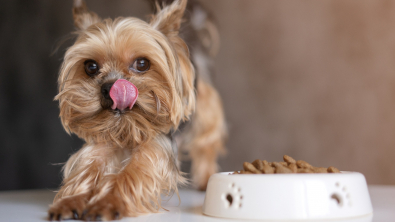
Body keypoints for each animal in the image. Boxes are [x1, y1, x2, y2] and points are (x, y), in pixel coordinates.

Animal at [48, 0, 226, 220]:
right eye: (90, 66)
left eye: (142, 63)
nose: (110, 87)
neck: (126, 129)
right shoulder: (101, 143)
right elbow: (87, 169)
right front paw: (70, 201)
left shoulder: (156, 148)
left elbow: (133, 172)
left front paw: (107, 203)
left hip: (205, 105)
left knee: (207, 140)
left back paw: (204, 177)